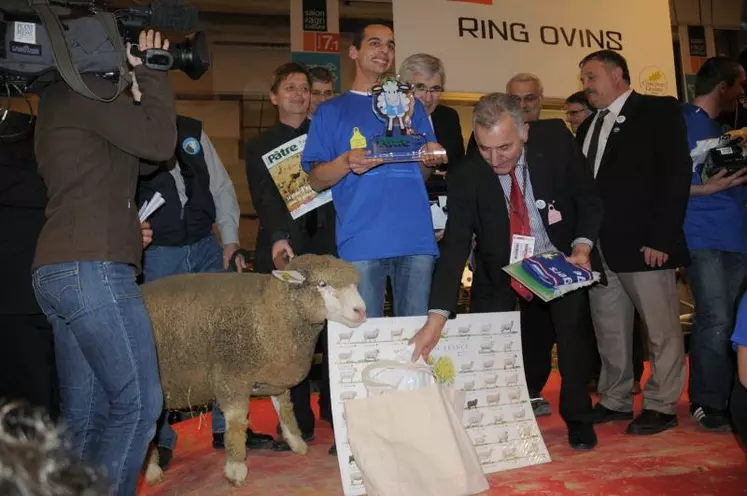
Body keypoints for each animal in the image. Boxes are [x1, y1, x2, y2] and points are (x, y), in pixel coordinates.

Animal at [141, 254, 368, 486]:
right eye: (322, 284)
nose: (361, 311)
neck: (271, 309)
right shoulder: (231, 376)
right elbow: (236, 423)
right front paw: (236, 468)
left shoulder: (275, 375)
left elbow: (284, 409)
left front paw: (295, 442)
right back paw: (152, 470)